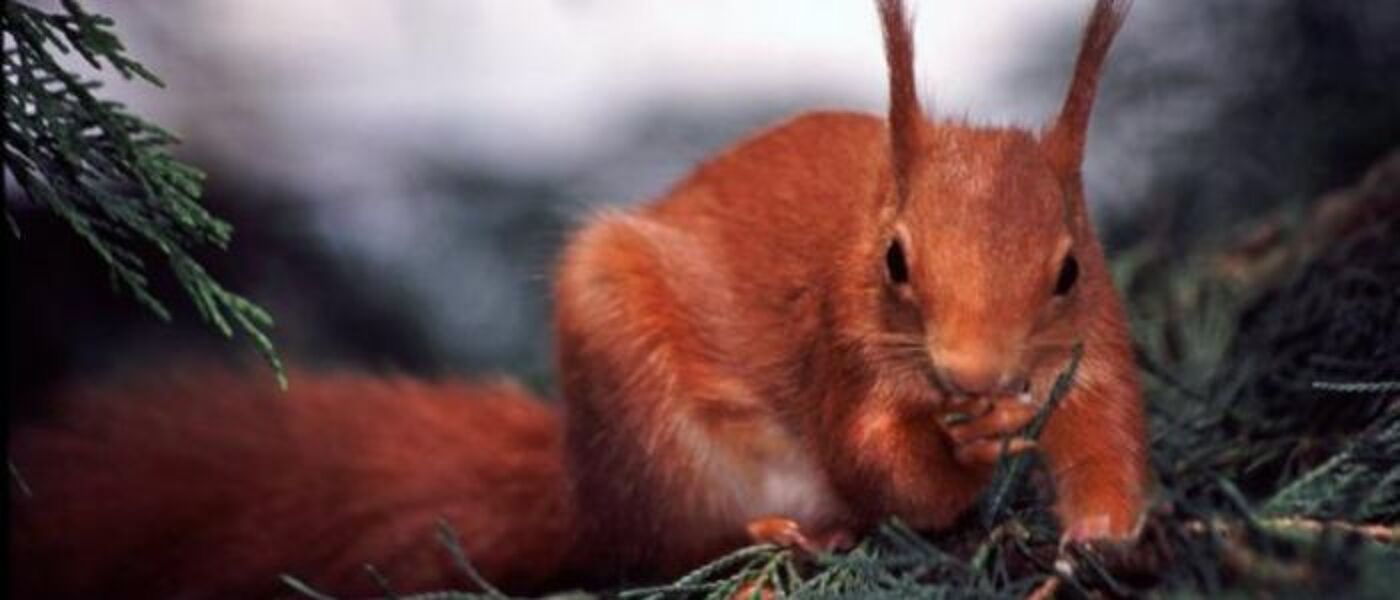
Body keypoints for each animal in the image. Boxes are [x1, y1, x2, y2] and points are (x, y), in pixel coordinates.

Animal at [9, 0, 1148, 597]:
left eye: (1066, 270)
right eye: (895, 263)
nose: (972, 372)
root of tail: (582, 482)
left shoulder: (1090, 347)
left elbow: (1106, 444)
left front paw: (1095, 539)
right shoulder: (844, 344)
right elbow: (881, 460)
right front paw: (963, 451)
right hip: (651, 424)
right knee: (668, 543)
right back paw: (781, 535)